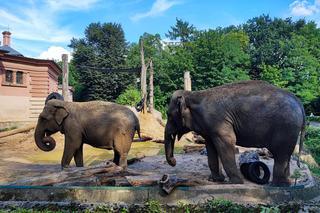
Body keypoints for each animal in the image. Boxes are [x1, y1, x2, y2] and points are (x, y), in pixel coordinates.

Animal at [165, 80, 304, 186]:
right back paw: (286, 183)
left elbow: (227, 141)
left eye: (169, 115)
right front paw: (217, 180)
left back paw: (277, 185)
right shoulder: (209, 126)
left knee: (281, 154)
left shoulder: (218, 121)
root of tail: (299, 102)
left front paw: (234, 182)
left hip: (286, 128)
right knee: (285, 154)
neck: (193, 95)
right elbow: (211, 147)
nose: (174, 162)